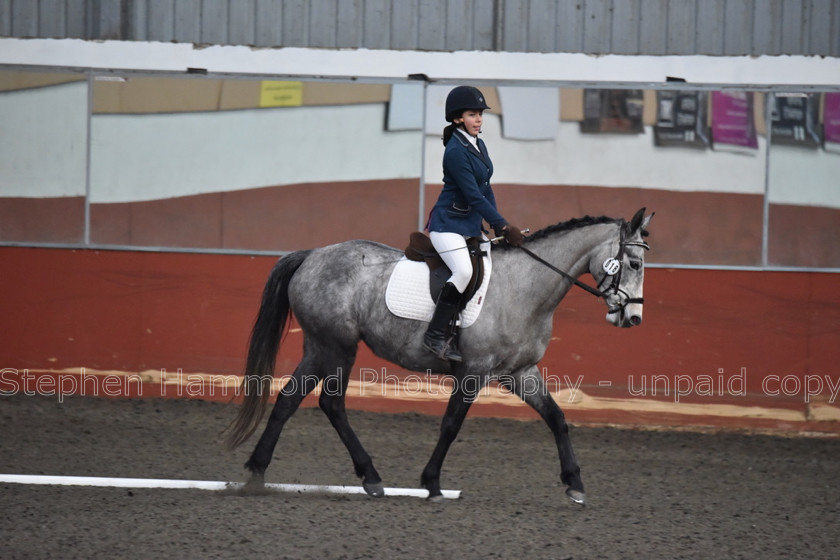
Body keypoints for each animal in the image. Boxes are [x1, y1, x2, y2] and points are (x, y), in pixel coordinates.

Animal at [226, 208, 652, 506]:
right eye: (634, 264)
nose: (632, 318)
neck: (526, 289)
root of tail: (313, 254)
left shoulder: (520, 372)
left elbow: (558, 419)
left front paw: (575, 485)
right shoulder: (474, 372)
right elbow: (450, 425)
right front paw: (431, 483)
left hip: (319, 346)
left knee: (289, 400)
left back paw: (258, 473)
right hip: (337, 347)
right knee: (331, 404)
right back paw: (370, 477)